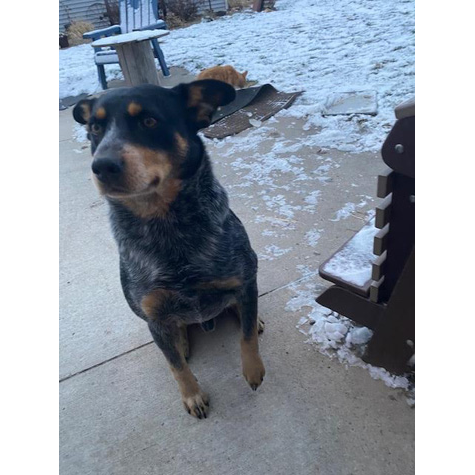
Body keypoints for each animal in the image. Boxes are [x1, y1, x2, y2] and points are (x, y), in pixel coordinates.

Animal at [74, 82, 266, 420]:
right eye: (95, 128)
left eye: (149, 121)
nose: (102, 166)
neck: (168, 229)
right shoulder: (152, 313)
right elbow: (174, 365)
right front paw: (192, 395)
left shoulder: (243, 279)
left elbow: (245, 336)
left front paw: (253, 369)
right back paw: (181, 340)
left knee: (243, 311)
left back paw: (251, 319)